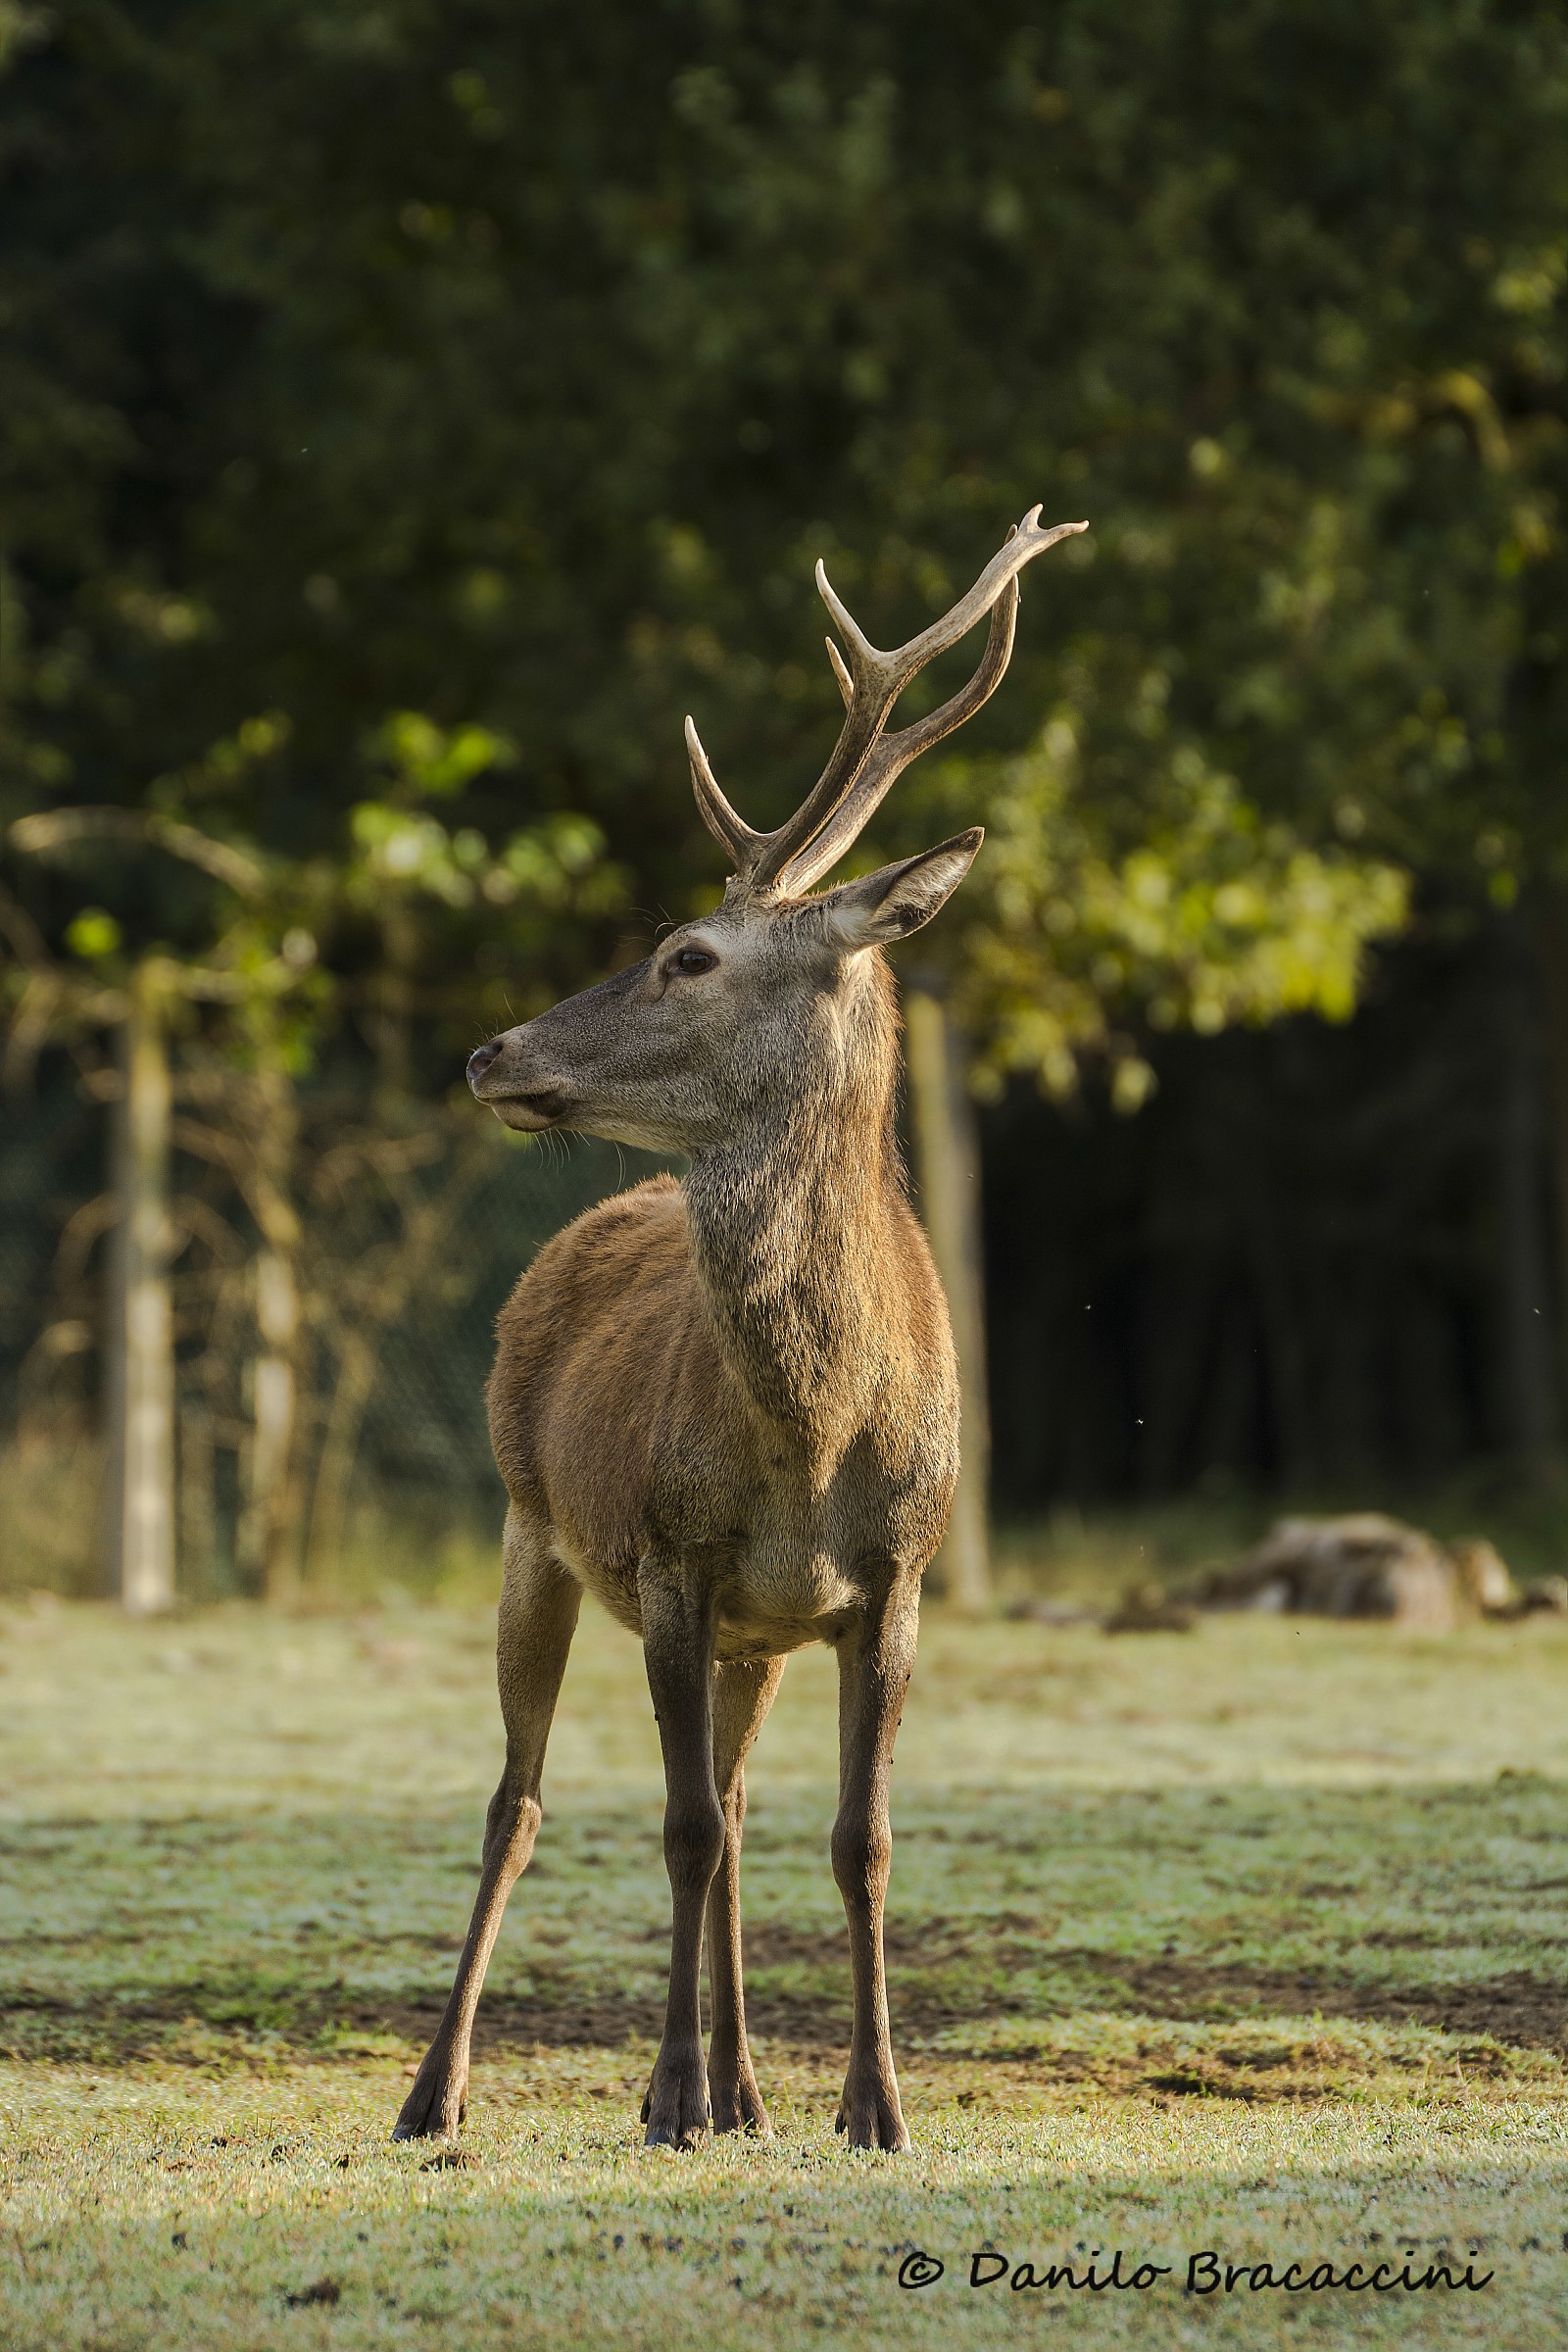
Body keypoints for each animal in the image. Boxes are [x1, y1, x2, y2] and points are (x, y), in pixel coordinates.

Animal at [393, 508, 1087, 2152]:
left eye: (688, 957)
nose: (490, 1052)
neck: (813, 1432)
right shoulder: (671, 1556)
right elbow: (682, 1828)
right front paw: (662, 2095)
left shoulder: (893, 1579)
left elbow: (857, 1837)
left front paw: (872, 2104)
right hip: (531, 1525)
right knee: (517, 1800)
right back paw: (440, 2093)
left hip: (755, 1631)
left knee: (743, 1800)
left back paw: (750, 2091)